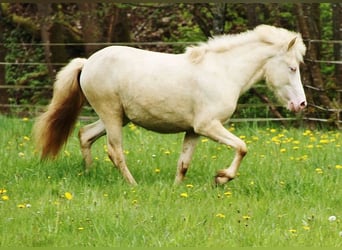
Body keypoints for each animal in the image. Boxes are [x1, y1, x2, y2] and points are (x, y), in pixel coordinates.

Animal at [33, 24, 308, 186]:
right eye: (292, 68)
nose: (301, 104)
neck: (224, 72)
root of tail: (87, 62)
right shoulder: (208, 125)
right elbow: (242, 147)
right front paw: (222, 178)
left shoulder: (194, 131)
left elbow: (183, 164)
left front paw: (177, 190)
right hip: (111, 115)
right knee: (114, 150)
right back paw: (133, 185)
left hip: (117, 117)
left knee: (85, 135)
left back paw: (89, 173)